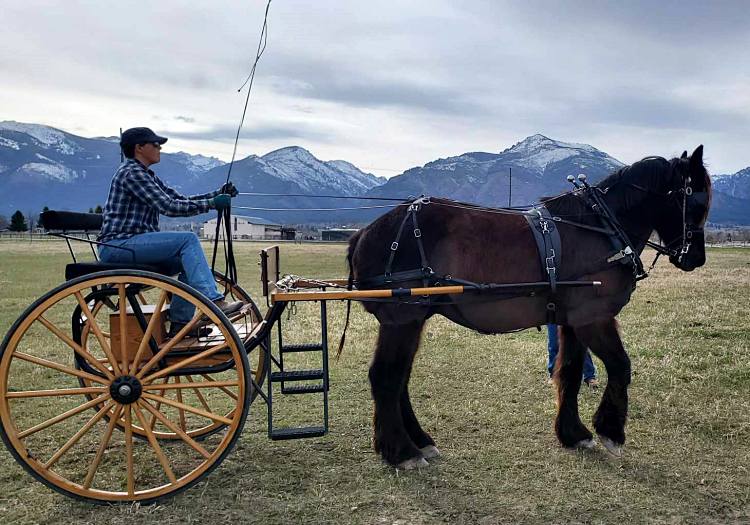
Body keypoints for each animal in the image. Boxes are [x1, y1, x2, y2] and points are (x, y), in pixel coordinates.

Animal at [345, 145, 711, 469]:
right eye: (695, 201)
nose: (695, 258)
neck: (600, 227)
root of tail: (364, 233)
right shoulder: (594, 317)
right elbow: (621, 366)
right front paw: (611, 431)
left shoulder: (572, 320)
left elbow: (570, 372)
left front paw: (574, 434)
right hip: (402, 319)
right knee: (386, 377)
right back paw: (402, 451)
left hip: (413, 320)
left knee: (400, 379)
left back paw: (419, 441)